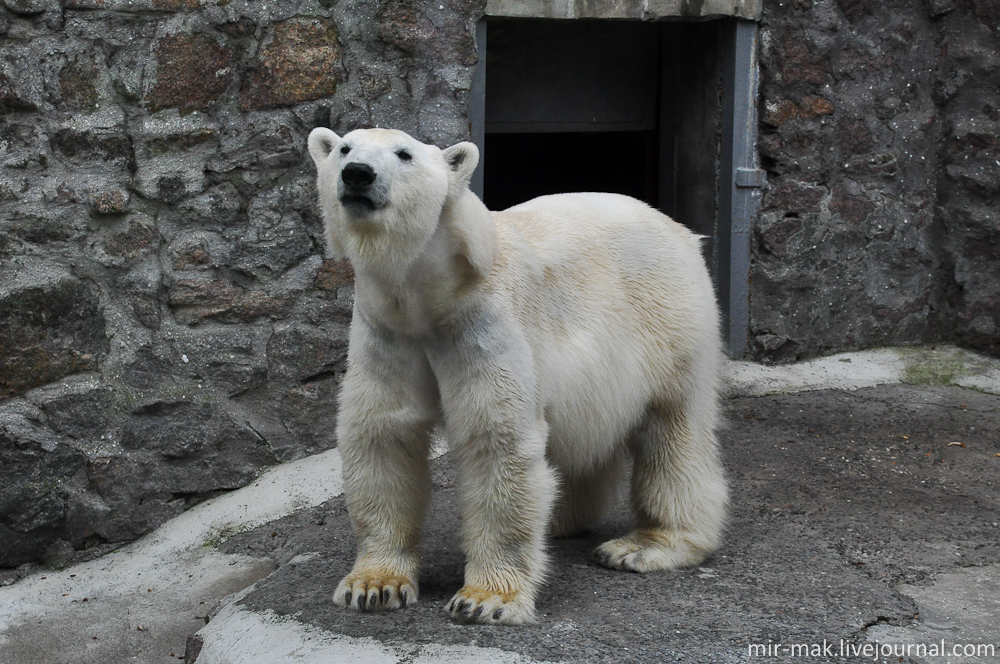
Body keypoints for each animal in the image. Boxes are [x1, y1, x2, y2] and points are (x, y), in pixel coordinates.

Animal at [304, 127, 728, 624]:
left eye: (404, 154)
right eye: (345, 148)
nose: (358, 174)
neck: (428, 295)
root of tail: (681, 230)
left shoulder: (482, 320)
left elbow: (497, 439)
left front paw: (485, 599)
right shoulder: (388, 329)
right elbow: (384, 435)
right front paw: (373, 586)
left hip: (667, 316)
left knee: (672, 427)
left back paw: (644, 545)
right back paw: (562, 519)